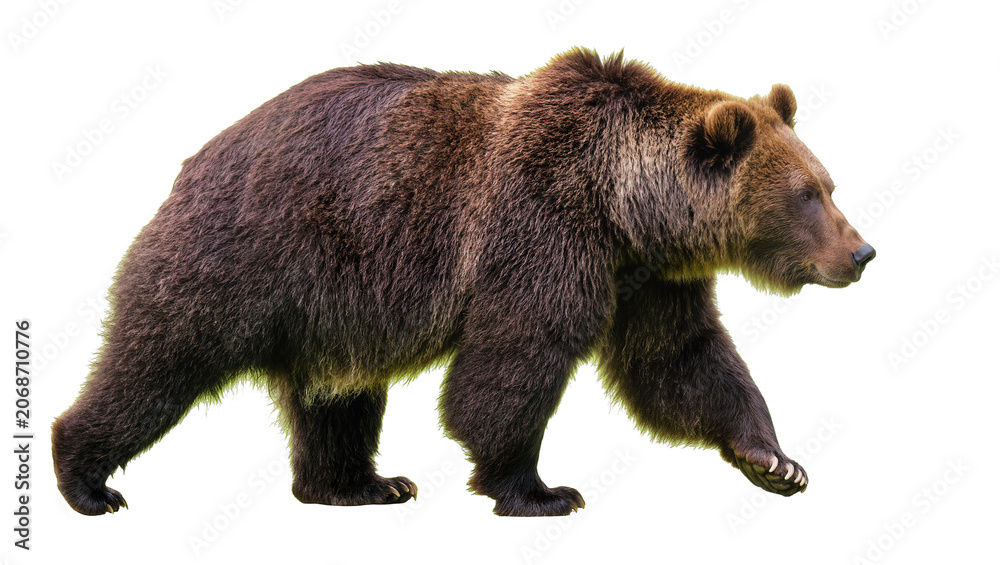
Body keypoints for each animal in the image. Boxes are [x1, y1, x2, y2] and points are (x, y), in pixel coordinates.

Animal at [52, 48, 875, 517]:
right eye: (807, 194)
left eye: (828, 184)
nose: (863, 251)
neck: (623, 205)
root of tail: (196, 157)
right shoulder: (541, 230)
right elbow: (510, 363)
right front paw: (539, 489)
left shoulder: (647, 278)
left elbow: (680, 363)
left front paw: (775, 461)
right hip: (247, 255)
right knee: (158, 360)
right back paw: (88, 480)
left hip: (334, 308)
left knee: (338, 397)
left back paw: (361, 484)